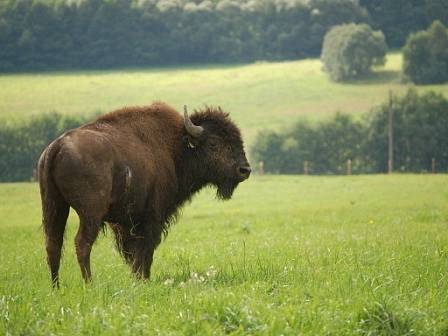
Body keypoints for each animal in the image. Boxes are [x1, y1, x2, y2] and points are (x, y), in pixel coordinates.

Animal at [36, 102, 250, 286]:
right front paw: (143, 280)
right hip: (90, 213)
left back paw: (56, 287)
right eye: (213, 142)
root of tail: (57, 146)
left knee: (53, 244)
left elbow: (133, 252)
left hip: (54, 206)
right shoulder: (152, 217)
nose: (244, 170)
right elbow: (145, 250)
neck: (176, 147)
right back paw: (89, 284)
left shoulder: (125, 222)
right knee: (82, 243)